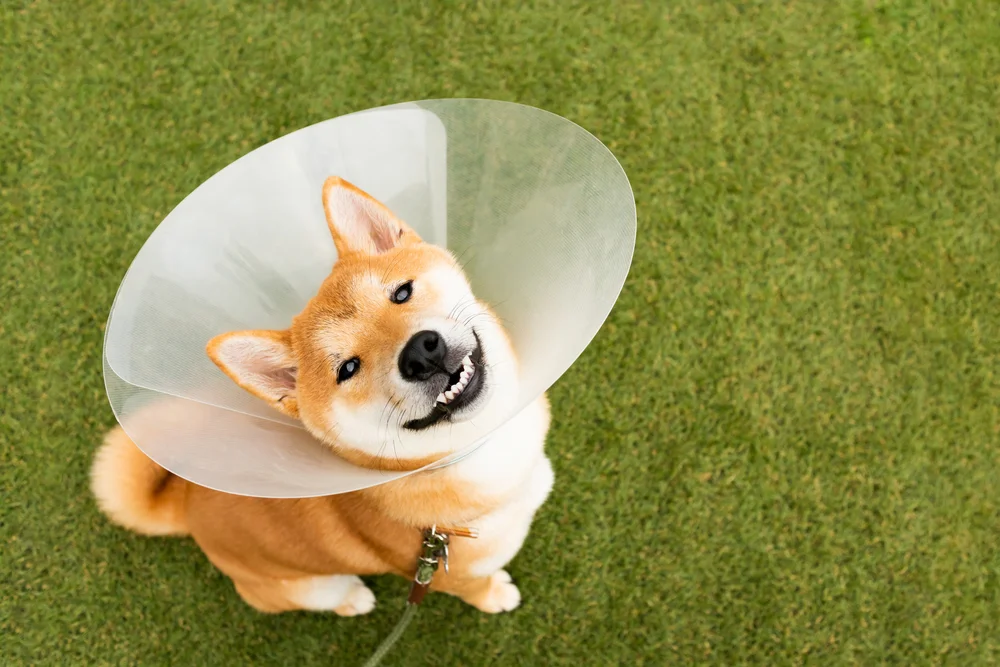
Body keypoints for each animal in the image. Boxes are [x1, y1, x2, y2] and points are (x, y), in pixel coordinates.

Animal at [92, 177, 556, 616]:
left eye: (401, 293)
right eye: (347, 369)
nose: (421, 354)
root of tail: (187, 506)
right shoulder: (445, 574)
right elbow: (476, 587)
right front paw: (495, 596)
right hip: (308, 586)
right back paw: (353, 599)